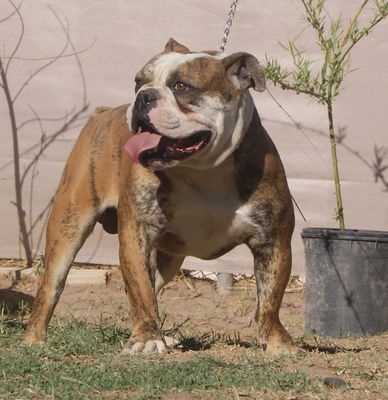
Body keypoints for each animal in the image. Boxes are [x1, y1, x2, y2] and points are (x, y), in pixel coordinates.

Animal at [24, 39, 296, 354]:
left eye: (181, 86)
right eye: (138, 82)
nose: (143, 96)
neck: (203, 171)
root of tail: (102, 113)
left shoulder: (273, 241)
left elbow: (270, 297)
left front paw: (276, 341)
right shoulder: (137, 233)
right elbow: (140, 291)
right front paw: (146, 339)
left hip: (169, 259)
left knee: (151, 287)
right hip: (69, 225)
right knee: (52, 287)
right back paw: (34, 339)